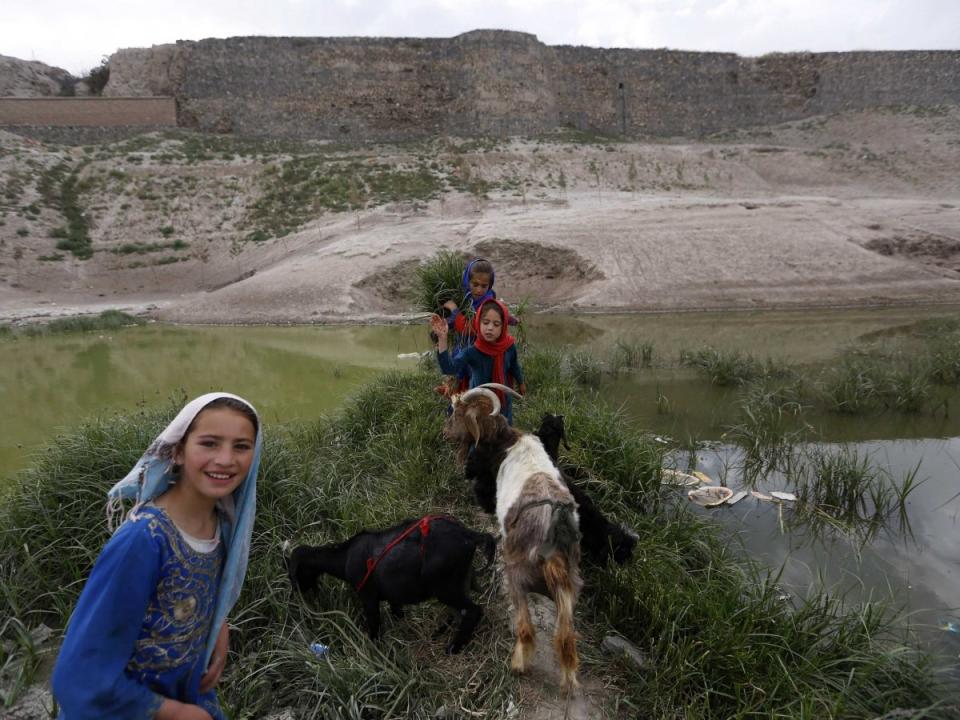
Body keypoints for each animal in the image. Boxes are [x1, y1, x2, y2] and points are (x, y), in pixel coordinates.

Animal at [284, 516, 496, 656]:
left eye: (295, 575)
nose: (295, 597)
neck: (345, 558)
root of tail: (471, 535)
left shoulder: (368, 596)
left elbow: (374, 625)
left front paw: (373, 653)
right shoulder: (394, 595)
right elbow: (397, 611)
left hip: (445, 586)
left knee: (473, 611)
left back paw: (453, 647)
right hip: (459, 581)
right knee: (460, 612)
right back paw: (440, 633)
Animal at [444, 386, 580, 688]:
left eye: (457, 413)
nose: (445, 433)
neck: (509, 443)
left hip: (516, 575)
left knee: (527, 629)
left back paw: (518, 665)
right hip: (569, 587)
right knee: (566, 640)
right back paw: (567, 681)